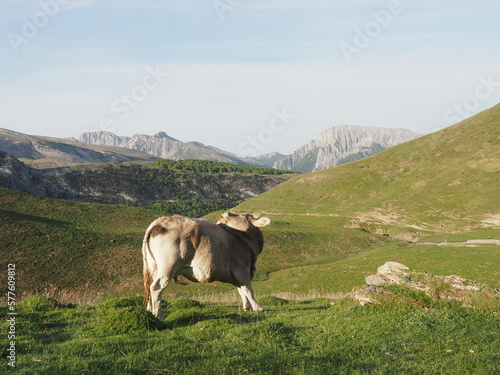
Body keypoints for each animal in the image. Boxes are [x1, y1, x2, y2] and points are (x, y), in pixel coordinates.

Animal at [143, 213, 272, 318]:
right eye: (244, 215)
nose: (224, 213)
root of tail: (161, 221)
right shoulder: (242, 269)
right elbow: (248, 290)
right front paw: (258, 307)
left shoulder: (237, 274)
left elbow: (241, 289)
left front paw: (247, 307)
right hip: (168, 267)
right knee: (156, 287)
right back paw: (158, 314)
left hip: (153, 266)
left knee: (149, 286)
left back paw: (150, 311)